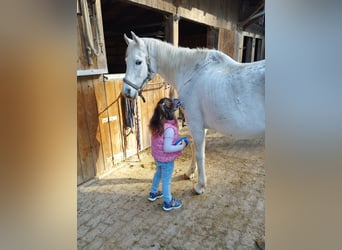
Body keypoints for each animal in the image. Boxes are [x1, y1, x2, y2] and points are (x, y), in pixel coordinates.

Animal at [121, 31, 266, 194]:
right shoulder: (200, 125)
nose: (126, 92)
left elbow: (199, 153)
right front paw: (190, 173)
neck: (192, 73)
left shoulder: (195, 124)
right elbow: (193, 148)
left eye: (138, 62)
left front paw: (200, 186)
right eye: (126, 60)